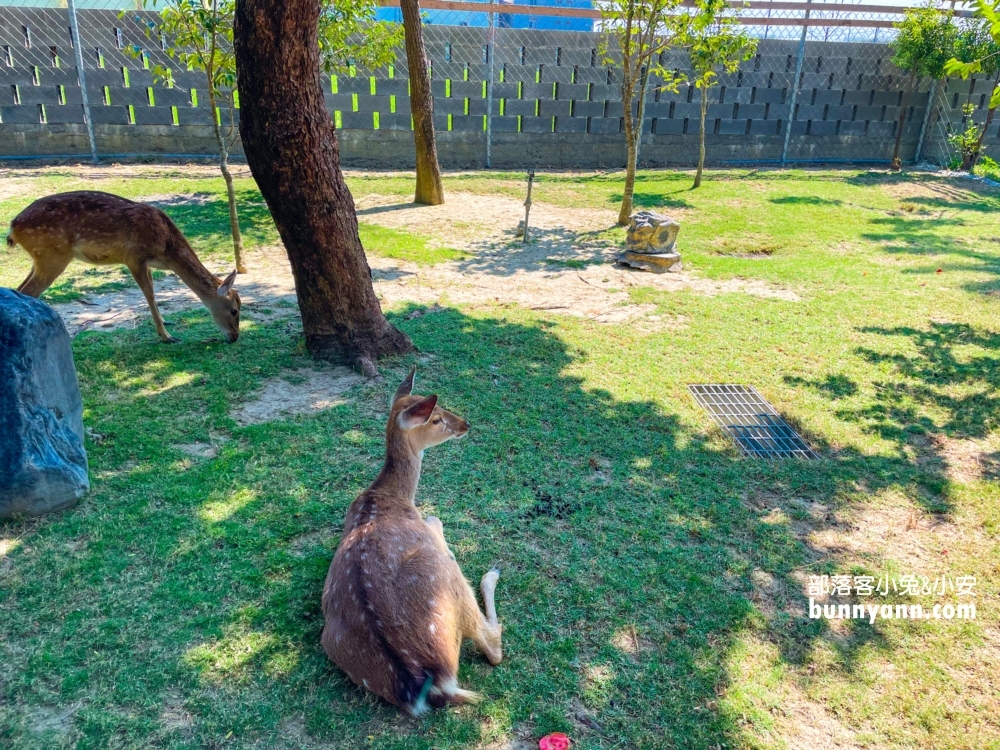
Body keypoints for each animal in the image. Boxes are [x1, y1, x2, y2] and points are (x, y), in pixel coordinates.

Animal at [6, 194, 242, 346]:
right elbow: (149, 294)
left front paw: (166, 323)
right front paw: (167, 336)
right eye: (234, 310)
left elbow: (153, 293)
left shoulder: (146, 263)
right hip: (53, 254)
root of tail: (12, 228)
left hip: (40, 257)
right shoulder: (133, 257)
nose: (235, 336)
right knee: (29, 291)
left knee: (19, 290)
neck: (166, 248)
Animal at [324, 370, 504, 716]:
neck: (391, 495)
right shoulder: (427, 527)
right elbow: (435, 519)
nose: (465, 424)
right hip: (443, 574)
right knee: (492, 644)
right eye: (436, 418)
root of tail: (430, 684)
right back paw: (491, 574)